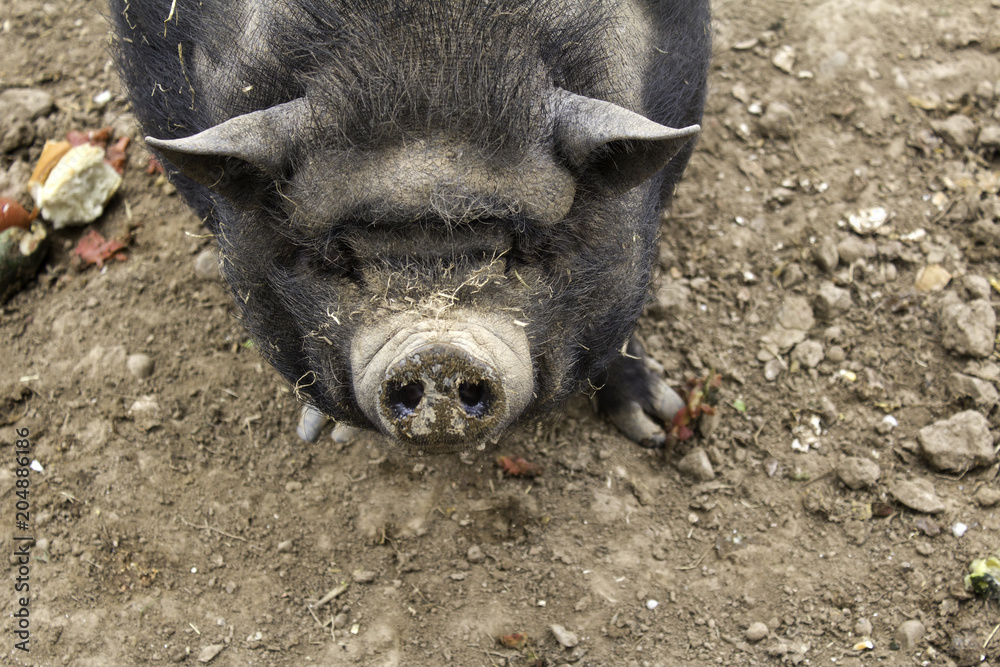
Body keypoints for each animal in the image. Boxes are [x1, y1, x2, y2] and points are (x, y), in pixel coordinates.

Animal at [109, 0, 712, 454]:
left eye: (521, 249)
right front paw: (322, 433)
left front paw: (656, 425)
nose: (437, 352)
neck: (429, 63)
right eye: (338, 257)